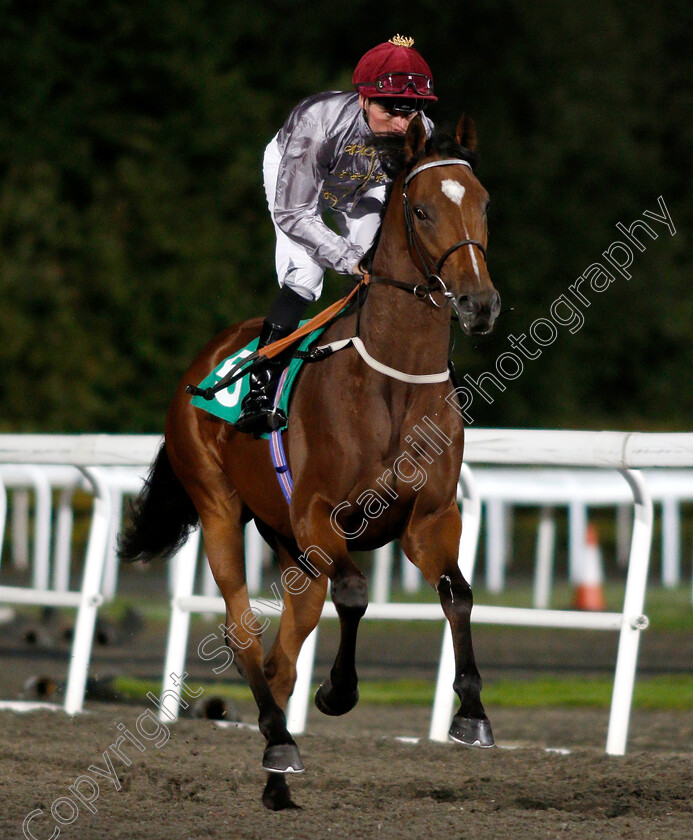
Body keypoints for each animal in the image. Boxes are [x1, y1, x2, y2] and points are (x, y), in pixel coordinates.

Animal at [119, 115, 498, 812]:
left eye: (484, 205)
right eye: (423, 210)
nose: (479, 303)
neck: (393, 384)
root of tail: (201, 365)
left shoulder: (430, 518)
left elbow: (457, 592)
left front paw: (472, 714)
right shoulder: (319, 514)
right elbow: (354, 593)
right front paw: (339, 692)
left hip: (290, 547)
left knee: (280, 658)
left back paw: (277, 777)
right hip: (221, 508)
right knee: (243, 632)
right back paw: (278, 739)